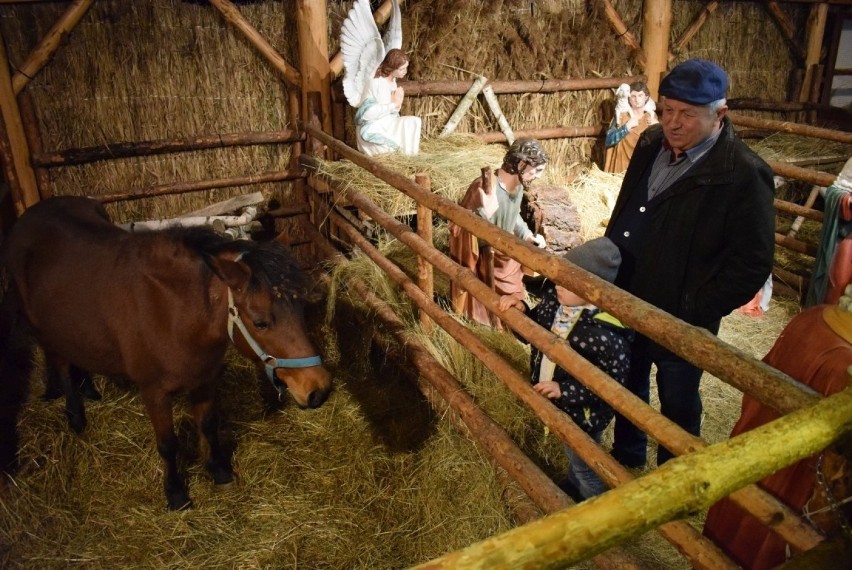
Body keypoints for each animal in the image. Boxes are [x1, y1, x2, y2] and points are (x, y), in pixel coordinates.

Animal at [0, 195, 332, 506]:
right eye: (261, 322)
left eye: (300, 308)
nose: (319, 389)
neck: (172, 311)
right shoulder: (154, 392)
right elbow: (168, 444)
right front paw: (176, 494)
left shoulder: (204, 379)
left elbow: (208, 425)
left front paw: (219, 472)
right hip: (44, 330)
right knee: (60, 364)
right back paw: (76, 417)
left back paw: (90, 391)